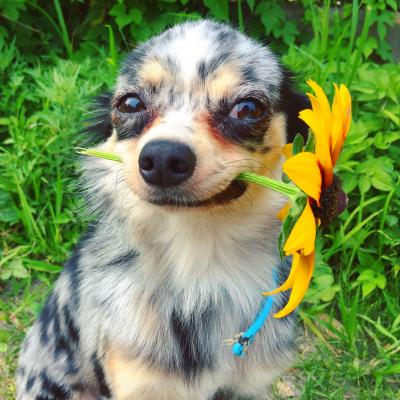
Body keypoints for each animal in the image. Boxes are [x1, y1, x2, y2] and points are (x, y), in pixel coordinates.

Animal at [15, 20, 310, 398]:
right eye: (130, 103)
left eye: (247, 109)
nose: (164, 158)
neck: (199, 265)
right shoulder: (137, 380)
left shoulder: (250, 383)